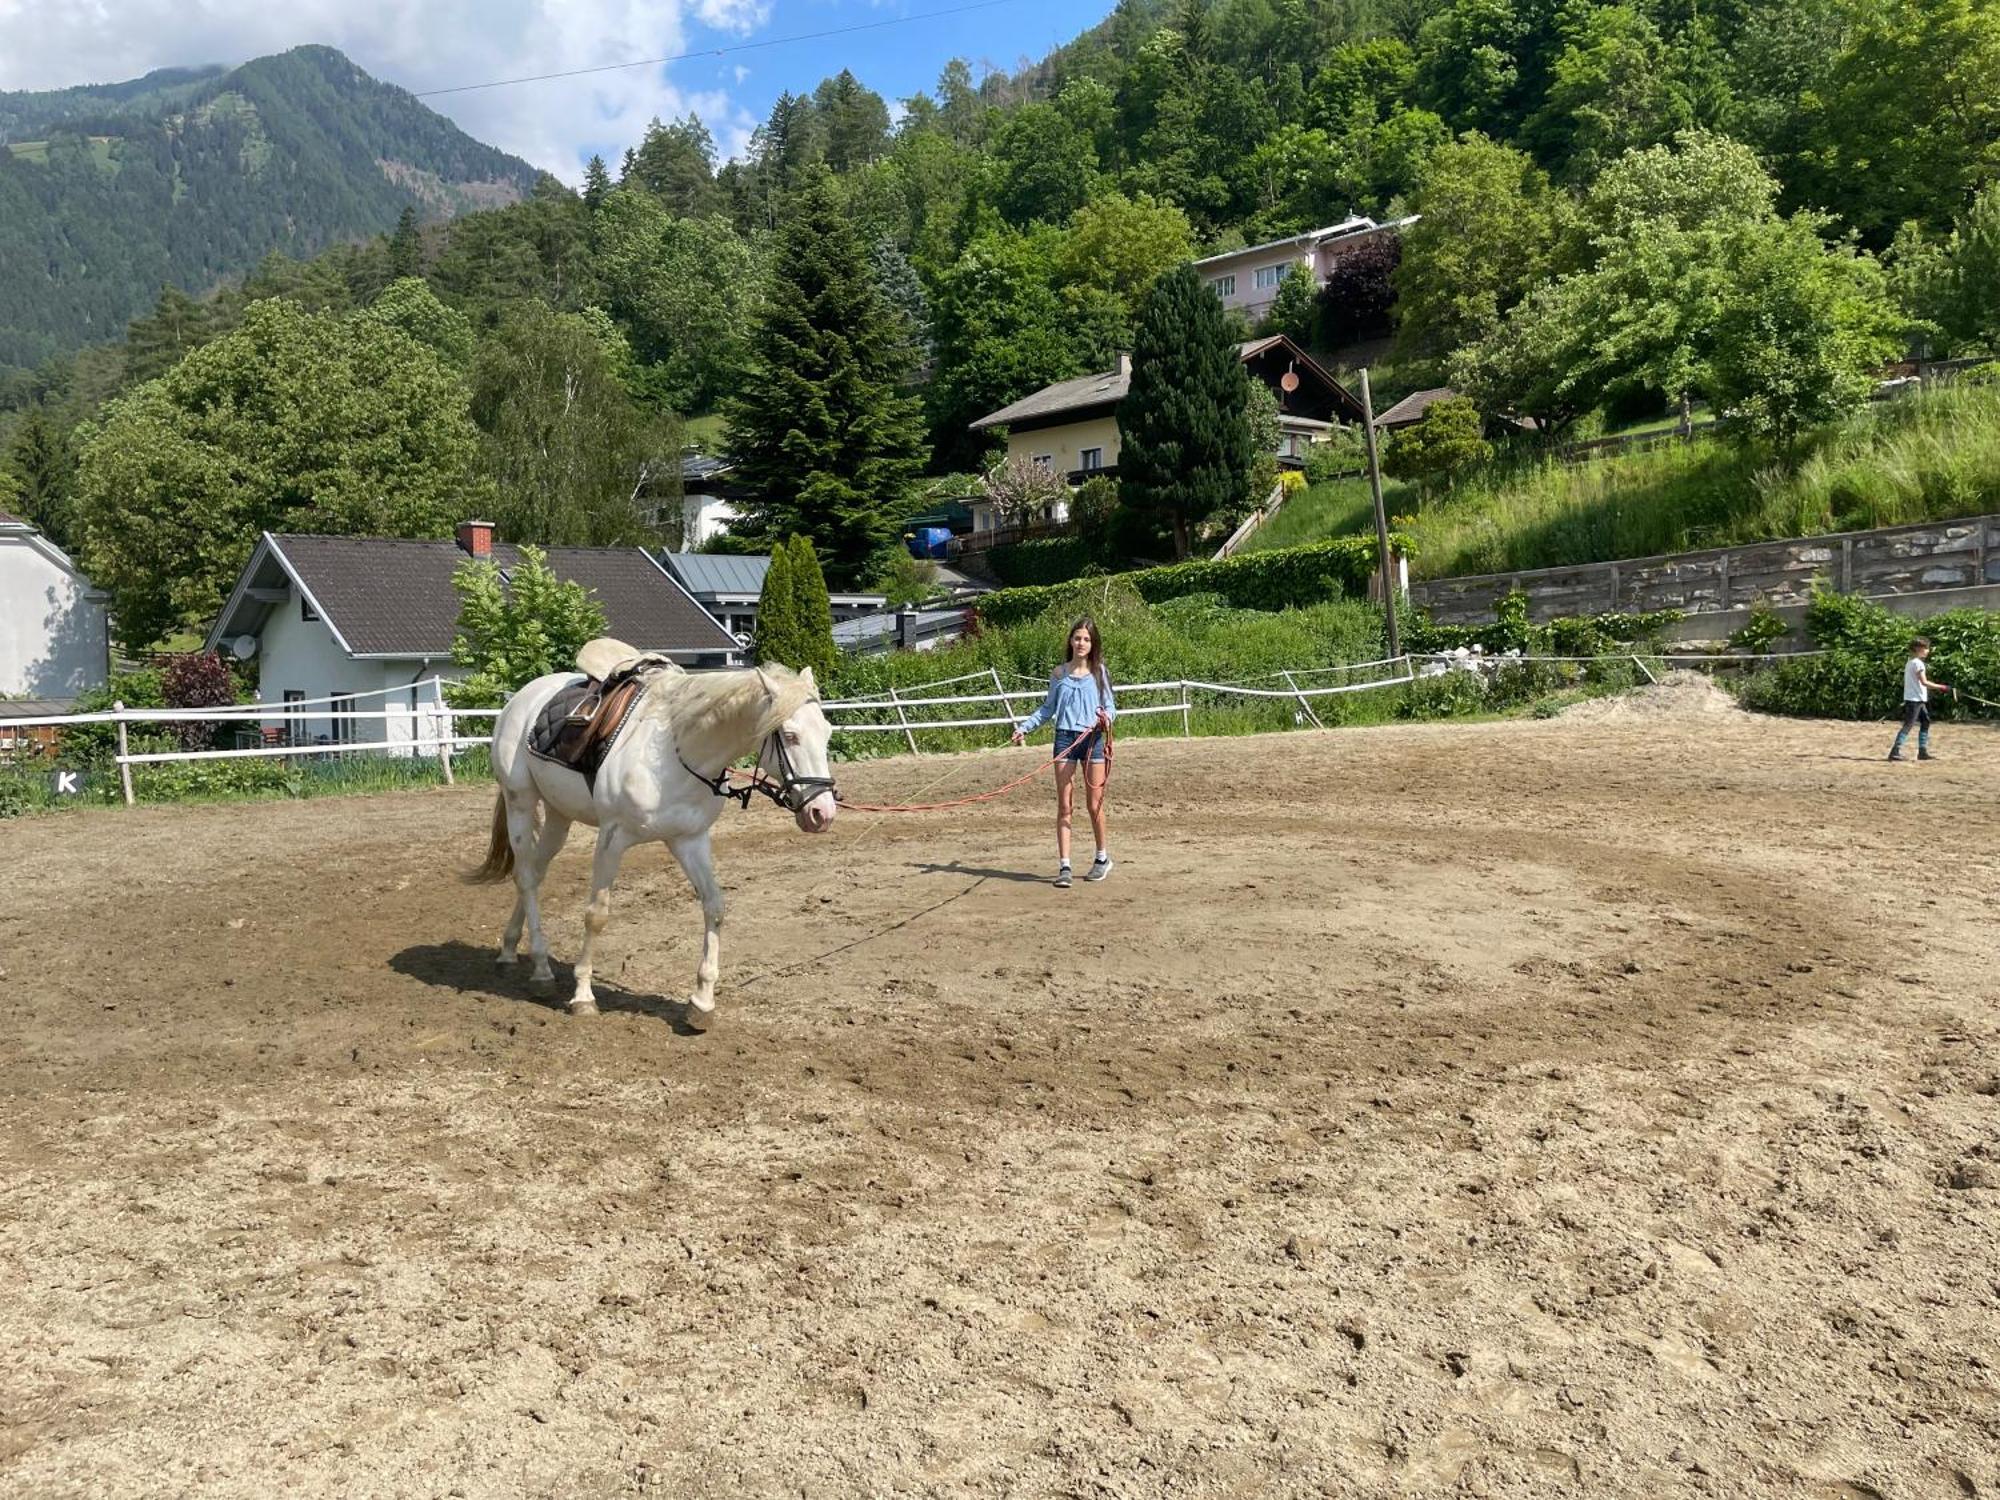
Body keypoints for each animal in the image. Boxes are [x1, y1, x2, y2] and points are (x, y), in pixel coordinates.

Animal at [468, 648, 836, 1024]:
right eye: (790, 735)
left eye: (826, 732)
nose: (822, 813)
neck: (678, 752)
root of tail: (520, 699)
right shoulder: (612, 838)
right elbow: (596, 914)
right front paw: (583, 995)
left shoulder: (690, 839)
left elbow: (714, 906)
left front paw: (702, 1001)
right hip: (521, 803)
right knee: (526, 877)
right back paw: (541, 969)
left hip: (559, 816)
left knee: (534, 874)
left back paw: (510, 949)